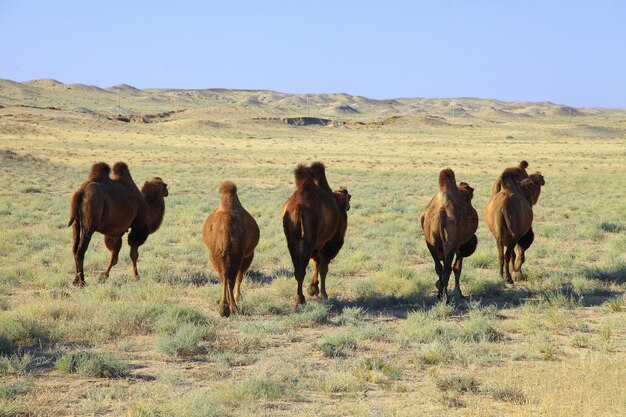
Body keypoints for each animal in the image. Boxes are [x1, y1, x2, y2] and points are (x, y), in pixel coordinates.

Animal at [201, 180, 258, 316]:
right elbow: (239, 277)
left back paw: (223, 307)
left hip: (216, 254)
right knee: (230, 278)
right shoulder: (248, 255)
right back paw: (232, 307)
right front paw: (239, 297)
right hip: (236, 255)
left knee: (224, 277)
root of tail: (226, 223)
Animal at [282, 162, 348, 306]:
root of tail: (299, 205)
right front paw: (323, 294)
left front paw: (313, 288)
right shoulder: (327, 245)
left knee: (298, 267)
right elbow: (323, 268)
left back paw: (299, 298)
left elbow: (316, 263)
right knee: (303, 267)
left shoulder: (318, 245)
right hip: (309, 241)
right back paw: (300, 299)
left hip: (292, 241)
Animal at [420, 169, 478, 302]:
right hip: (450, 244)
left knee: (439, 268)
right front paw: (459, 293)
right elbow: (457, 268)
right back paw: (446, 298)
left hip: (430, 243)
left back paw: (440, 295)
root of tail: (441, 209)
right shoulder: (459, 246)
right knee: (447, 269)